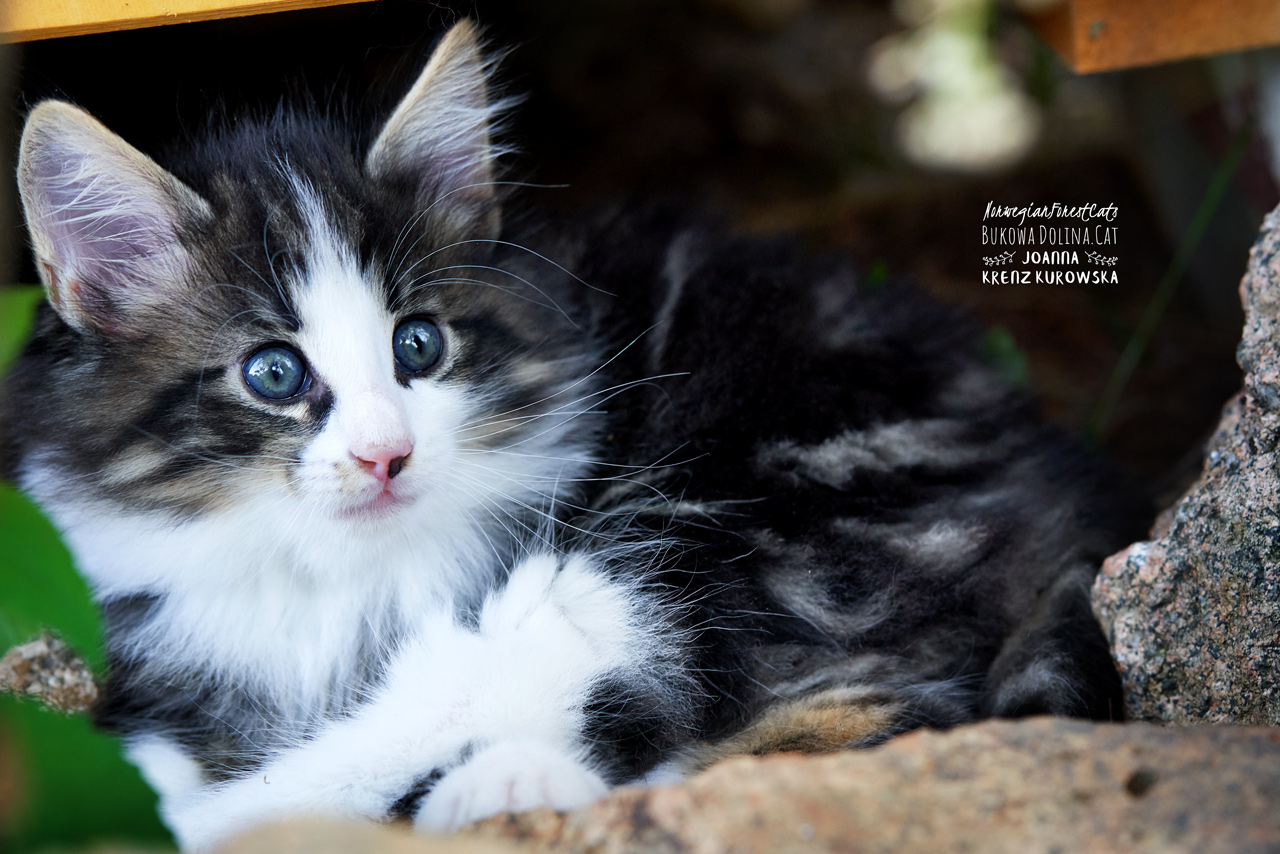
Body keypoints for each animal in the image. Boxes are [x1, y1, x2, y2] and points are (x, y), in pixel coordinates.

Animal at [1, 18, 1143, 852]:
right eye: (274, 373)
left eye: (418, 345)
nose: (385, 454)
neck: (331, 573)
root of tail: (1055, 484)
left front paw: (175, 801)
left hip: (748, 501)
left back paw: (504, 779)